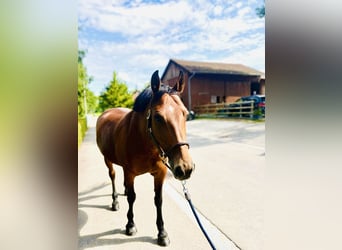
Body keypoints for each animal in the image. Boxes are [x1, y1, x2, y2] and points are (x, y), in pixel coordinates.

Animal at [95, 70, 194, 246]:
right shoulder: (130, 173)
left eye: (185, 114)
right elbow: (132, 198)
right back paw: (115, 201)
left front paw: (162, 233)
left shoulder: (160, 174)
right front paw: (130, 225)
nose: (185, 168)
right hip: (107, 159)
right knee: (112, 176)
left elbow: (158, 200)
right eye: (158, 117)